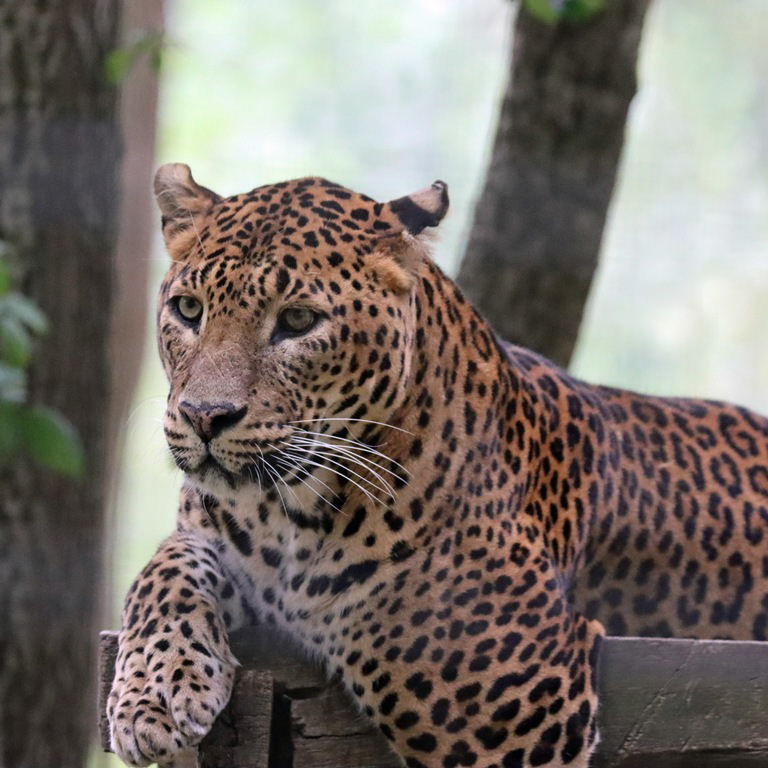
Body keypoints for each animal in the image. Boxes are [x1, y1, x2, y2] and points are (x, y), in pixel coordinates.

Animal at [108, 163, 768, 768]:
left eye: (297, 321)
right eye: (188, 310)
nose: (203, 417)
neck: (285, 513)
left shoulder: (514, 724)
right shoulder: (214, 535)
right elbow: (164, 566)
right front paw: (153, 693)